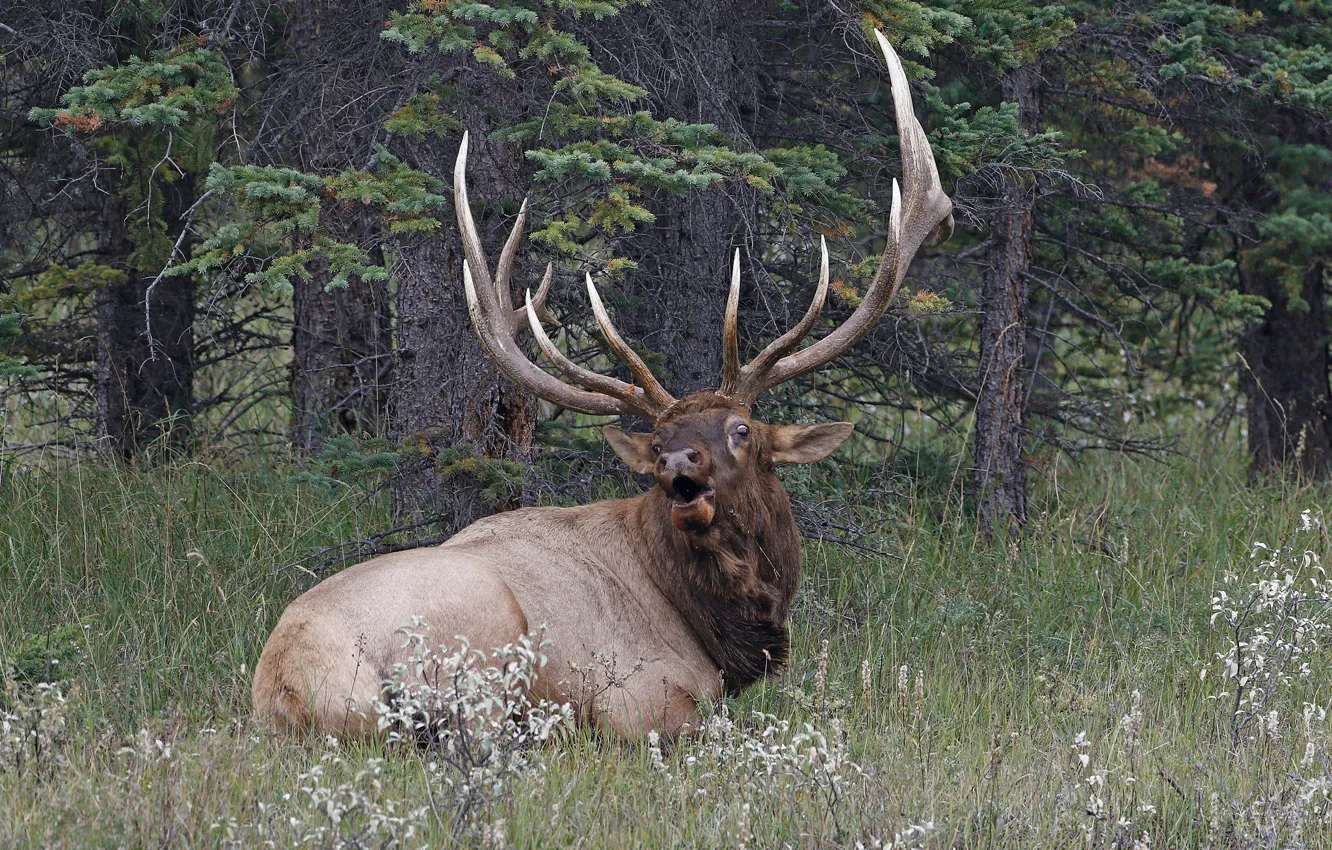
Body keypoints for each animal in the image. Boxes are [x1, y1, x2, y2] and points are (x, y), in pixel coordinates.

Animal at [251, 30, 953, 740]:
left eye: (741, 429)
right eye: (658, 442)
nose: (678, 463)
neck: (719, 632)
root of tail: (287, 683)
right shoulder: (639, 700)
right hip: (481, 647)